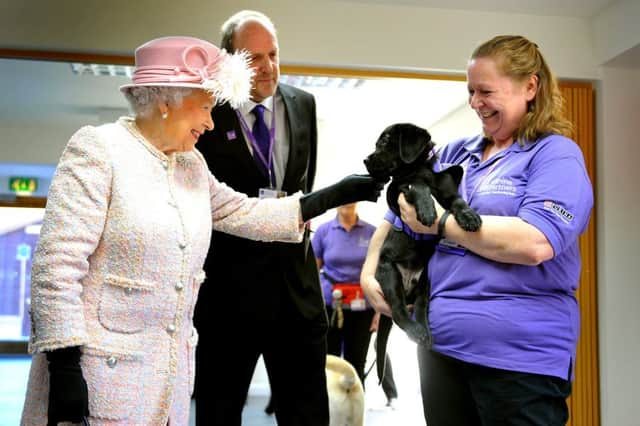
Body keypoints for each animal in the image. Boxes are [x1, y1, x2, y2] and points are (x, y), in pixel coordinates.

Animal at [364, 122, 480, 380]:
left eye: (384, 142)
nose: (365, 160)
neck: (421, 168)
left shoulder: (448, 193)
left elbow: (458, 202)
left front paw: (469, 217)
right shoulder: (395, 192)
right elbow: (417, 186)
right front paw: (427, 211)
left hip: (425, 280)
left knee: (420, 307)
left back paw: (425, 332)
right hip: (389, 274)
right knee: (398, 311)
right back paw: (416, 330)